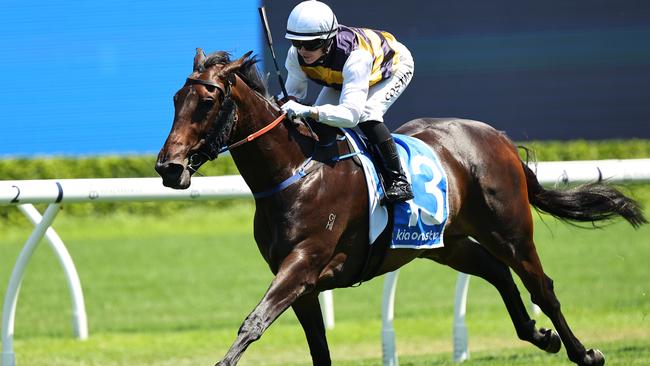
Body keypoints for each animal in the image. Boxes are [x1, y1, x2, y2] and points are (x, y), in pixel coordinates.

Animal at [156, 49, 644, 366]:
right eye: (176, 100)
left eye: (207, 101)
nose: (168, 167)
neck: (295, 170)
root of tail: (498, 137)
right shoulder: (300, 281)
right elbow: (317, 346)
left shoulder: (304, 263)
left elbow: (253, 323)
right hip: (445, 242)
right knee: (495, 272)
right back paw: (540, 336)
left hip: (510, 231)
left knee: (541, 286)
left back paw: (584, 352)